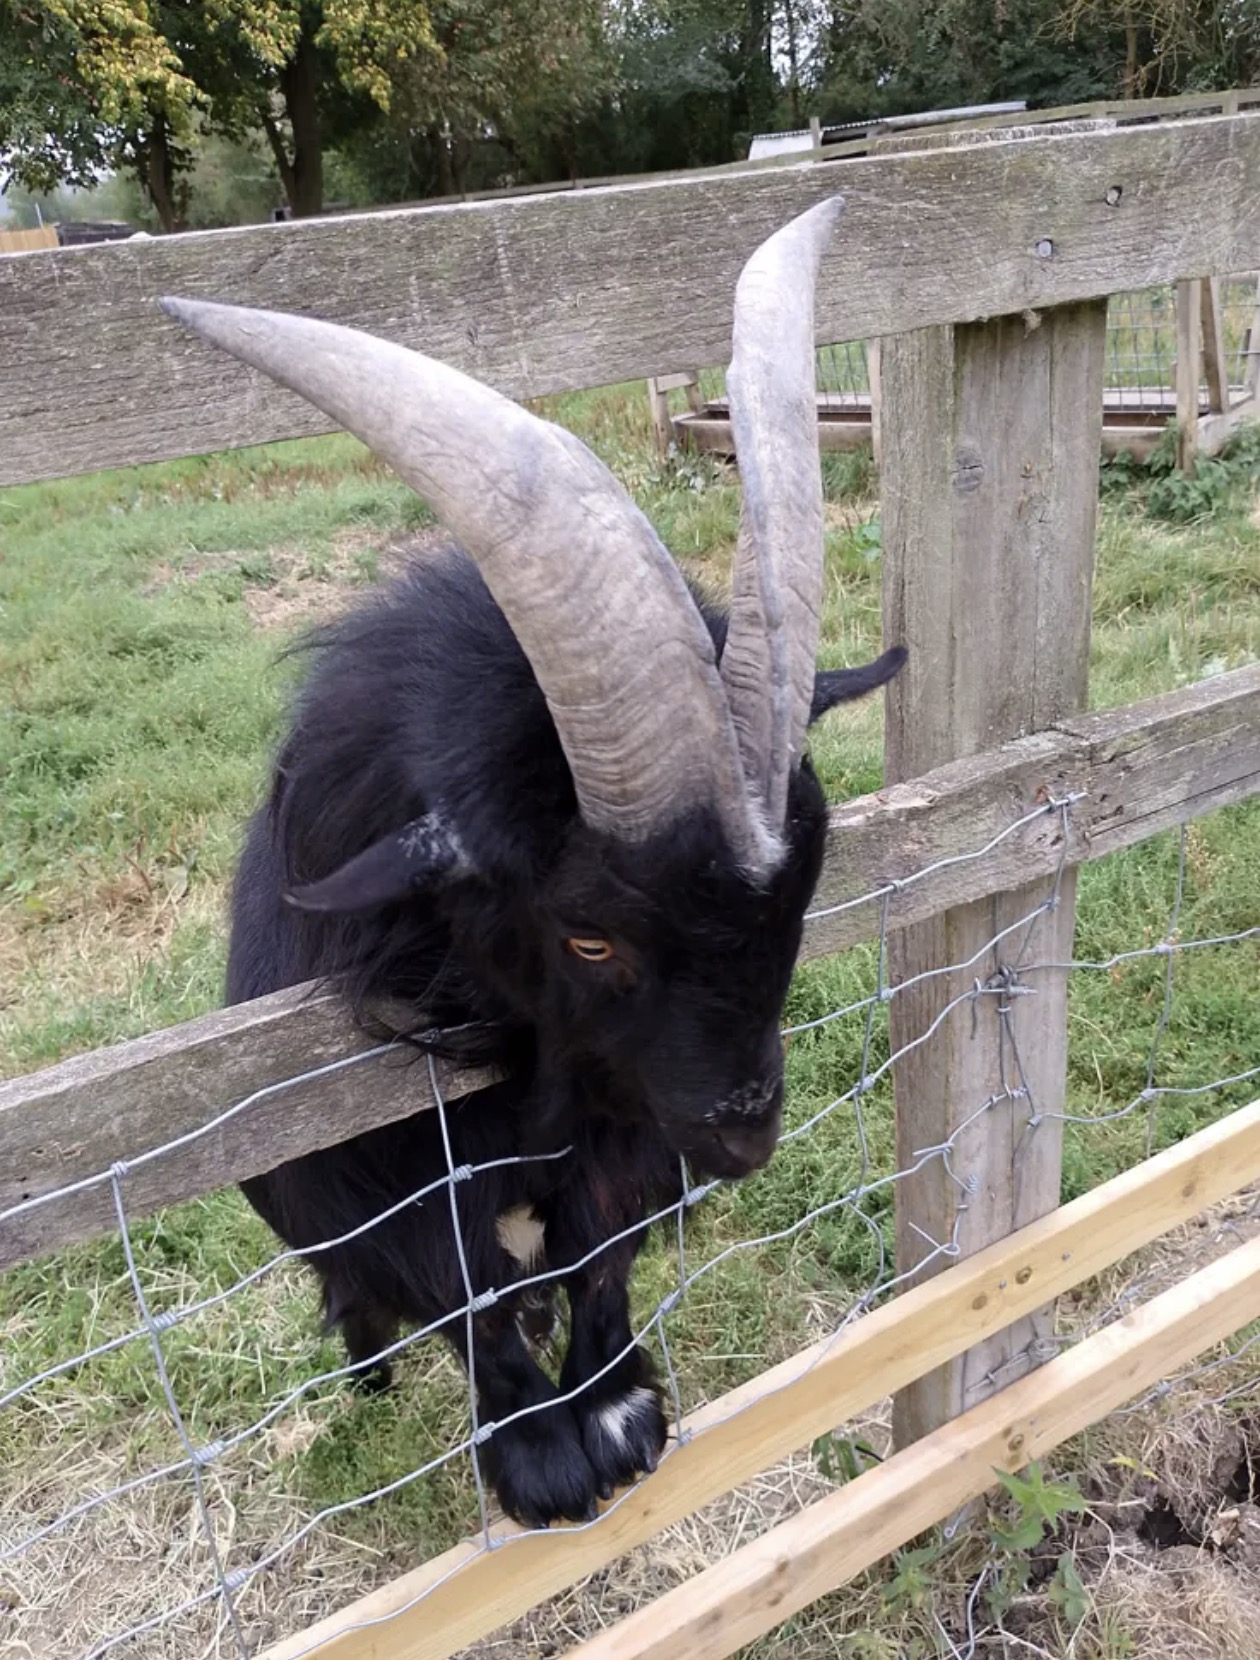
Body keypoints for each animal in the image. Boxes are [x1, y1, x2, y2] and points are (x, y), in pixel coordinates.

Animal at [162, 195, 905, 1529]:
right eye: (590, 931)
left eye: (811, 882)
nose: (744, 1138)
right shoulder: (347, 1170)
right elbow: (447, 1280)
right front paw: (542, 1449)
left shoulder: (627, 1124)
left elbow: (600, 1238)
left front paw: (612, 1404)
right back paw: (366, 1369)